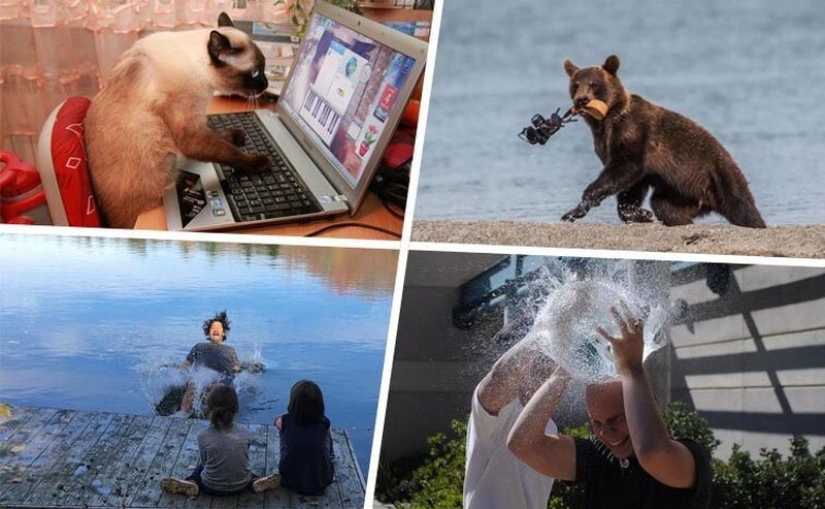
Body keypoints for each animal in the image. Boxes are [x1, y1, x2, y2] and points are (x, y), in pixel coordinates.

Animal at [89, 11, 272, 228]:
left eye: (264, 67)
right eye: (256, 72)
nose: (266, 84)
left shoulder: (199, 125)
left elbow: (219, 134)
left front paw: (237, 135)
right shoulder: (191, 134)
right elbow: (229, 152)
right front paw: (259, 162)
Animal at [560, 54, 768, 227]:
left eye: (593, 84)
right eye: (575, 85)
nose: (582, 99)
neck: (606, 120)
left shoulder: (633, 133)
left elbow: (625, 168)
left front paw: (581, 205)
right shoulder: (606, 143)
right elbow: (631, 185)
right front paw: (640, 214)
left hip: (719, 174)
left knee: (741, 206)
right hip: (681, 191)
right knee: (664, 205)